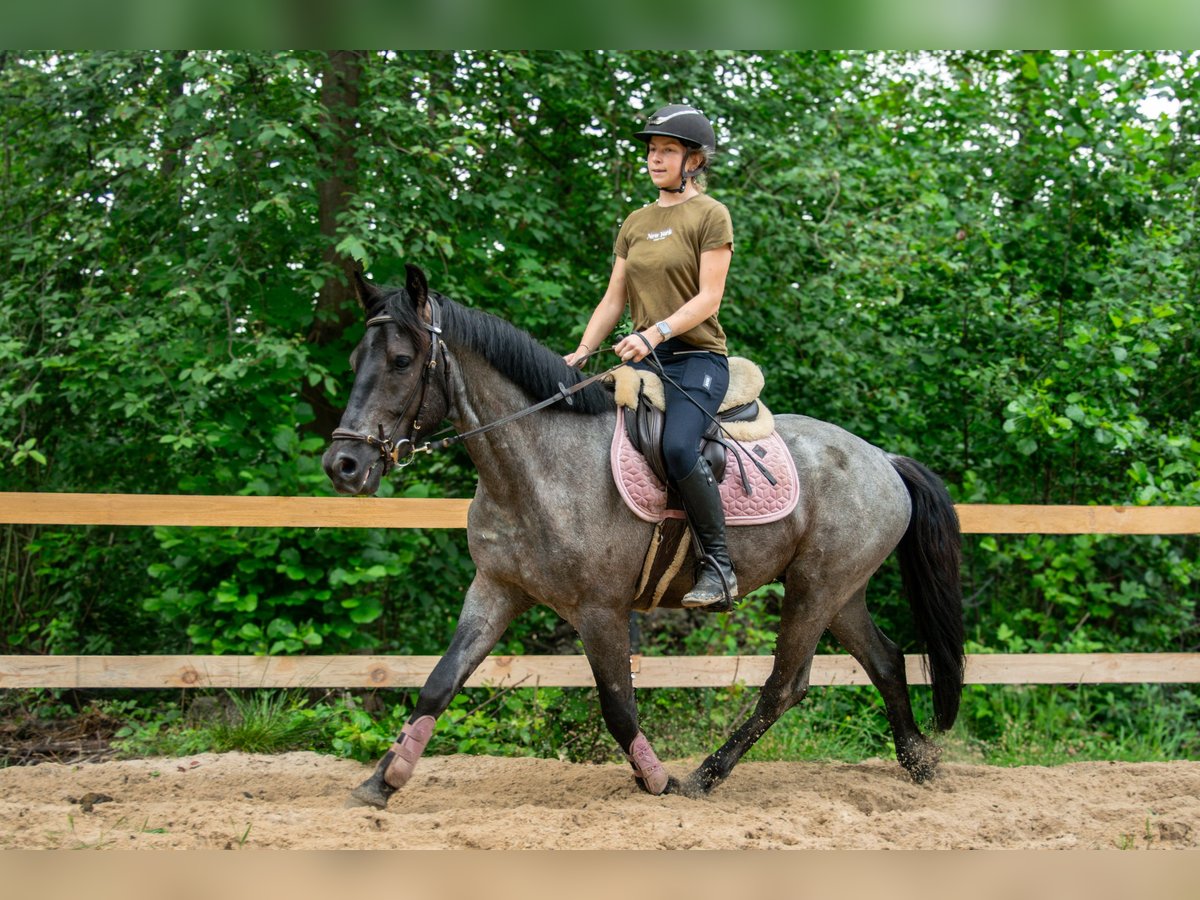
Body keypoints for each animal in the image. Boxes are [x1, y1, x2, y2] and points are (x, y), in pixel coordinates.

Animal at [321, 262, 964, 811]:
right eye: (356, 357)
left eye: (401, 360)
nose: (343, 465)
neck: (534, 465)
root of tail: (883, 459)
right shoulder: (496, 589)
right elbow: (439, 682)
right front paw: (381, 783)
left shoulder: (599, 609)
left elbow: (616, 704)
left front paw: (656, 780)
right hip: (841, 591)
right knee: (886, 660)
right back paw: (919, 764)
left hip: (815, 589)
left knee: (786, 685)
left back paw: (706, 775)